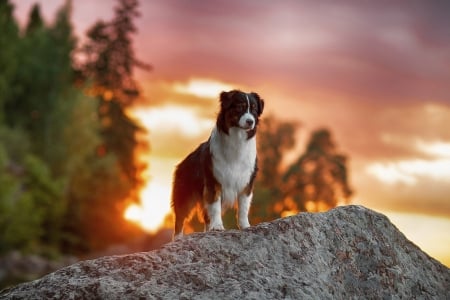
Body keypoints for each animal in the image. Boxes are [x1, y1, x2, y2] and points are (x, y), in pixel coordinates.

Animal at [171, 90, 264, 238]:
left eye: (254, 109)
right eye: (239, 107)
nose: (250, 121)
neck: (237, 140)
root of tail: (182, 163)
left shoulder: (246, 182)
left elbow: (243, 207)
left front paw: (245, 226)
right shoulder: (214, 181)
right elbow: (214, 207)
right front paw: (218, 227)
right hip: (184, 195)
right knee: (180, 218)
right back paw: (179, 238)